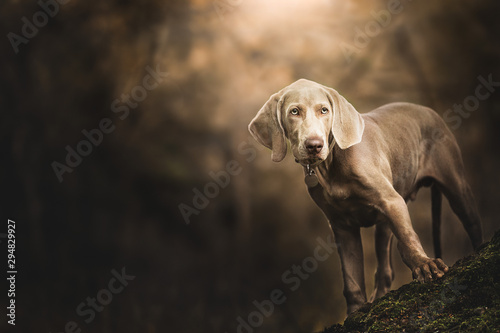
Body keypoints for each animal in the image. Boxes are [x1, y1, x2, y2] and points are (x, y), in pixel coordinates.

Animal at [250, 78, 484, 314]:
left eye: (324, 110)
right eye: (294, 111)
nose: (314, 145)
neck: (331, 165)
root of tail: (429, 111)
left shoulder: (392, 201)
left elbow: (408, 237)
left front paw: (424, 264)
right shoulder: (342, 227)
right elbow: (352, 278)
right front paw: (355, 311)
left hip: (455, 186)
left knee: (472, 223)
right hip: (384, 223)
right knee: (385, 270)